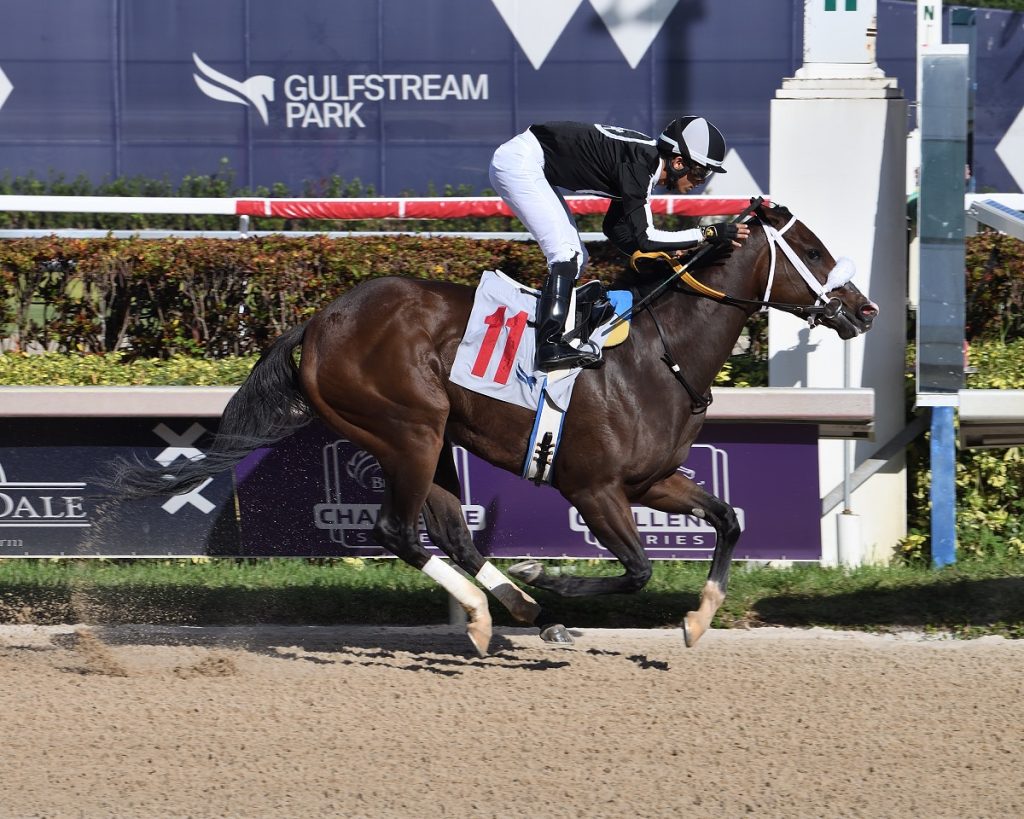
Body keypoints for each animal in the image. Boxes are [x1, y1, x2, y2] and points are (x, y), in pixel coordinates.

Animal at [110, 201, 880, 655]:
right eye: (813, 250)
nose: (864, 309)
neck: (658, 354)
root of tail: (322, 320)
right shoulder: (592, 487)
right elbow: (636, 568)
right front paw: (553, 573)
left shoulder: (652, 479)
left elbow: (727, 518)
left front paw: (696, 619)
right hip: (408, 430)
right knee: (398, 530)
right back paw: (492, 611)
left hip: (433, 440)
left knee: (451, 531)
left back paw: (521, 611)